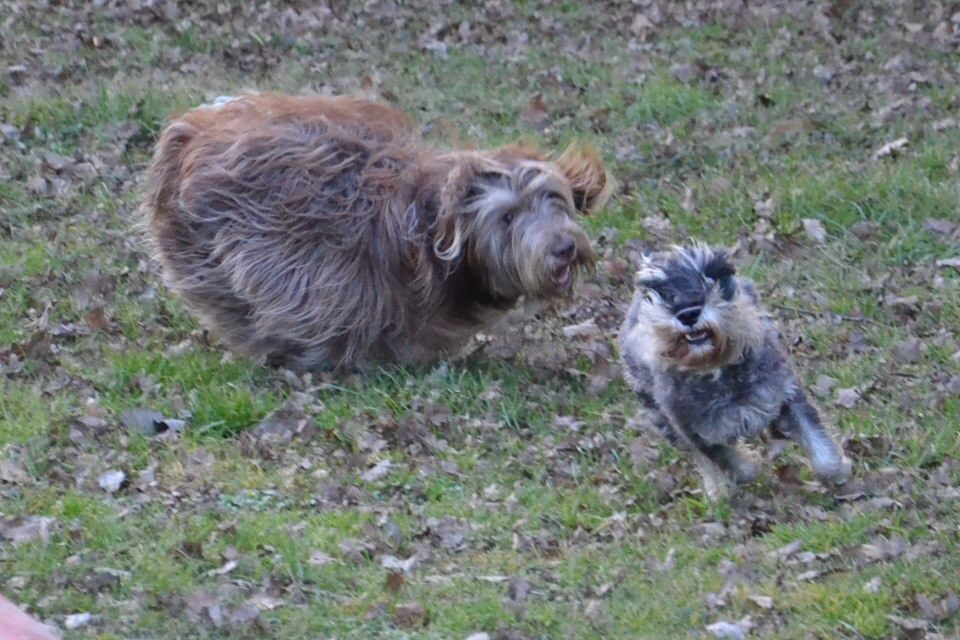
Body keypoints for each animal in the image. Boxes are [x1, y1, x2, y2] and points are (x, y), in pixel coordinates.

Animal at [620, 242, 852, 498]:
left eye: (711, 276)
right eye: (660, 289)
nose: (688, 313)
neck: (715, 370)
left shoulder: (787, 394)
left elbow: (821, 450)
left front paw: (839, 471)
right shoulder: (692, 431)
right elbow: (732, 464)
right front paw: (746, 469)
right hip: (661, 418)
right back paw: (717, 489)